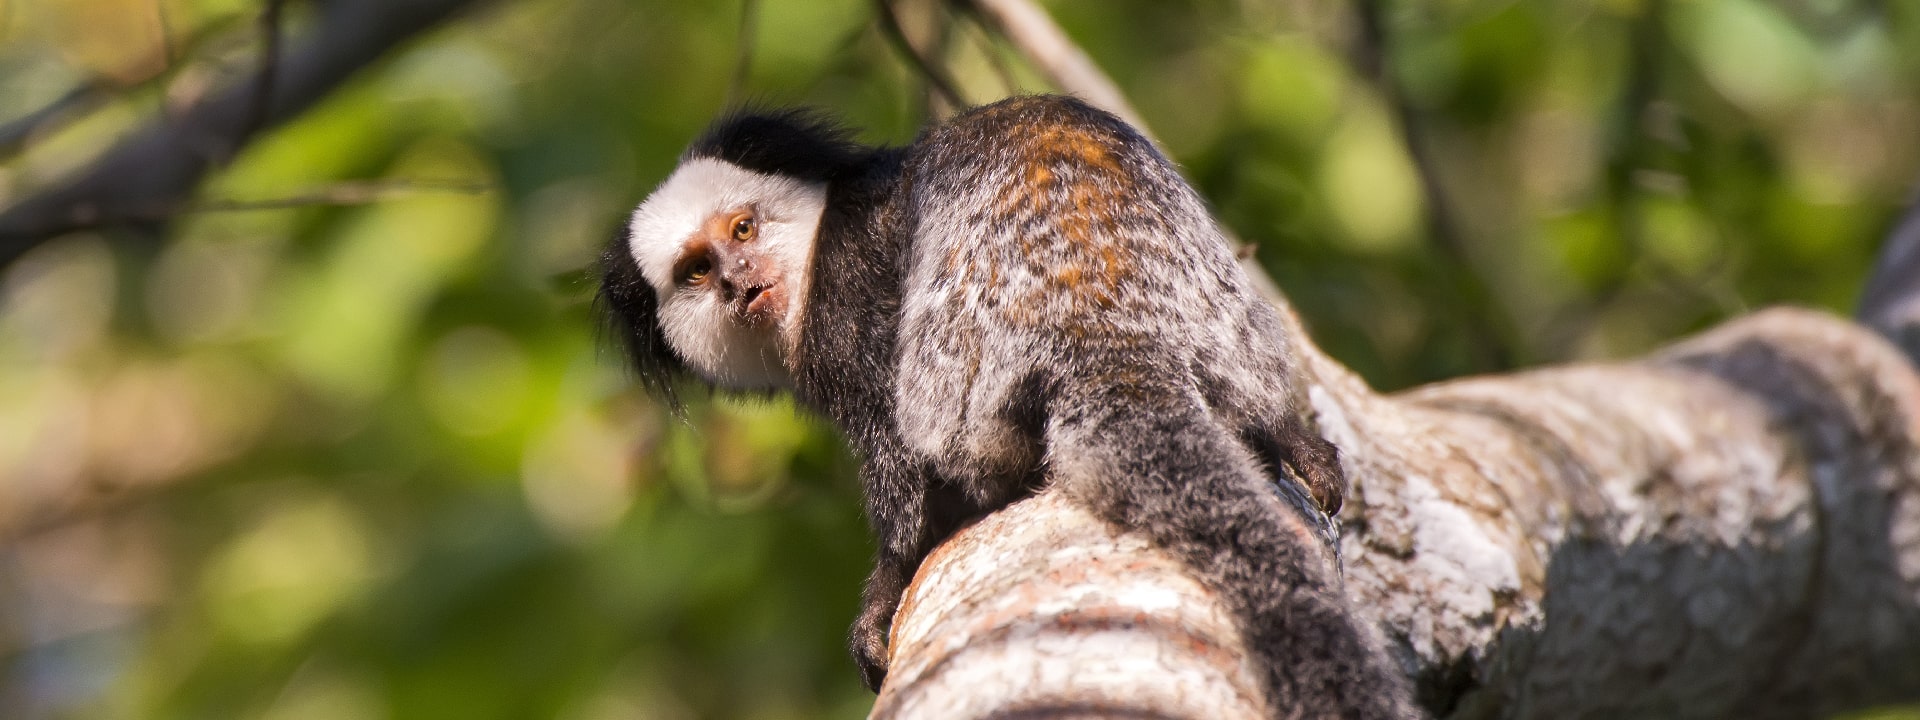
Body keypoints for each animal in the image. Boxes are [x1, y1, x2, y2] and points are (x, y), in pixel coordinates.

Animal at [600, 95, 1418, 718]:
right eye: (696, 270)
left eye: (742, 229)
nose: (738, 281)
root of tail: (1109, 331)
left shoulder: (849, 300)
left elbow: (898, 479)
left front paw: (883, 591)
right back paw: (1282, 433)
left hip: (965, 379)